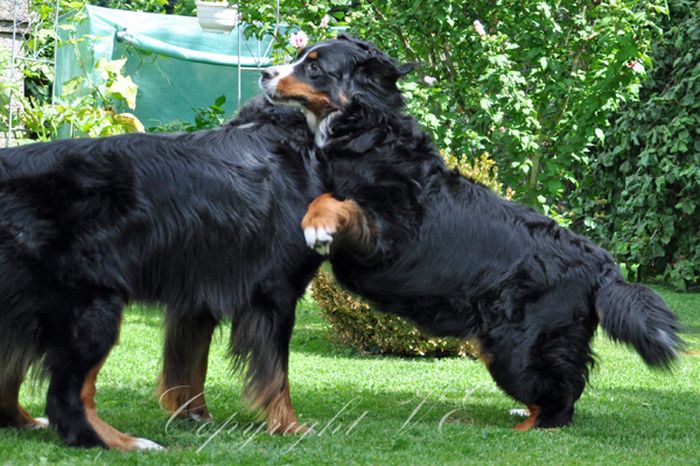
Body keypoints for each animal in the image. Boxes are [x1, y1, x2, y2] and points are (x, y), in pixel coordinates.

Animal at [0, 97, 325, 450]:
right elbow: (277, 373)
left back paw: (25, 421)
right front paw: (289, 426)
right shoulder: (275, 291)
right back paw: (126, 443)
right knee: (66, 397)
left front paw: (194, 414)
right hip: (89, 305)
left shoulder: (197, 293)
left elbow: (190, 361)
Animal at [261, 34, 684, 430]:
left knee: (559, 401)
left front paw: (317, 224)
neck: (366, 134)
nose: (264, 73)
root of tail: (601, 263)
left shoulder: (385, 238)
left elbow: (334, 201)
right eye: (300, 57)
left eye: (314, 67)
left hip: (519, 346)